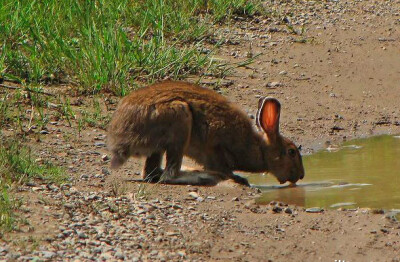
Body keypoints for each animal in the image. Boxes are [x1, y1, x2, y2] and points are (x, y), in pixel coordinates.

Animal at [108, 81, 304, 185]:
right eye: (291, 152)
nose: (301, 175)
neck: (258, 148)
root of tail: (119, 140)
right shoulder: (216, 145)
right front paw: (238, 178)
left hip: (160, 146)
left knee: (152, 172)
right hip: (180, 119)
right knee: (168, 175)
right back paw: (202, 176)